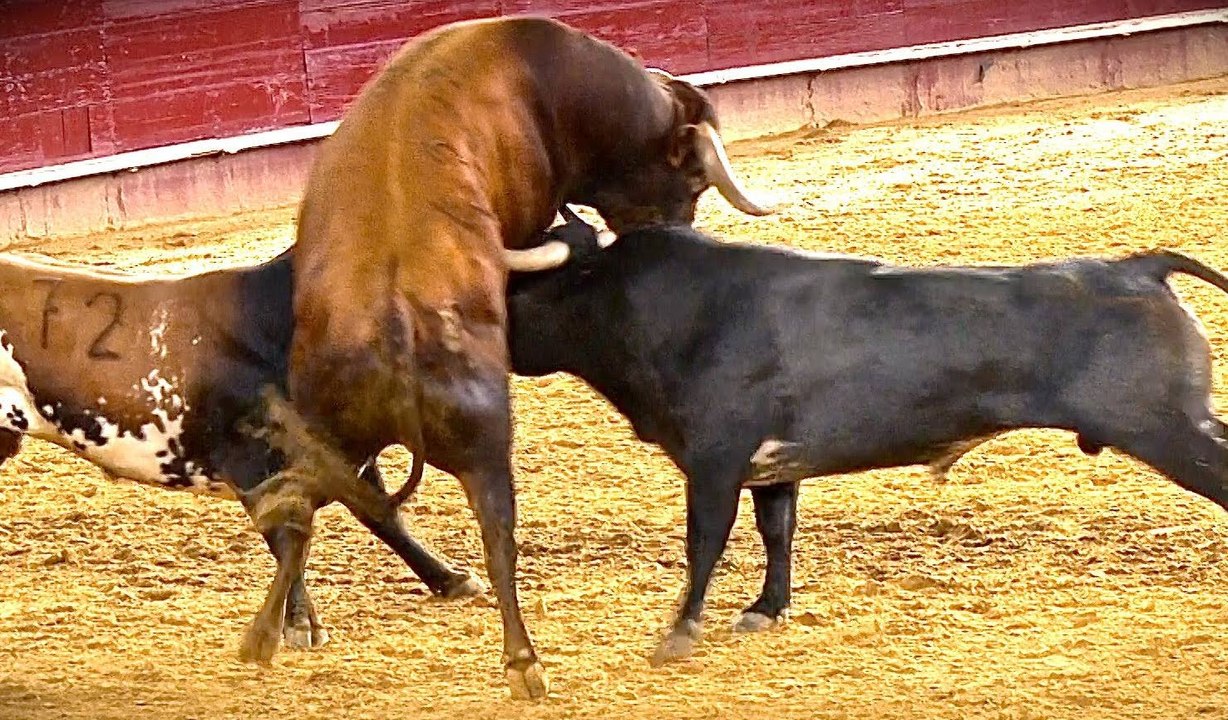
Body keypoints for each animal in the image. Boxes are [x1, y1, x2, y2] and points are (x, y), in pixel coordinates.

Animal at [273, 15, 772, 698]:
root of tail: (394, 327)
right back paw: (523, 660)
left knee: (300, 507)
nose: (676, 235)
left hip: (326, 435)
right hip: (485, 441)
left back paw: (303, 618)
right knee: (496, 534)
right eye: (692, 181)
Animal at [505, 212, 1228, 668]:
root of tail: (1138, 268)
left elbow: (703, 543)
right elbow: (777, 530)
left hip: (1168, 429)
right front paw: (767, 608)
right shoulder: (773, 466)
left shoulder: (714, 462)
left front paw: (678, 633)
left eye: (518, 284)